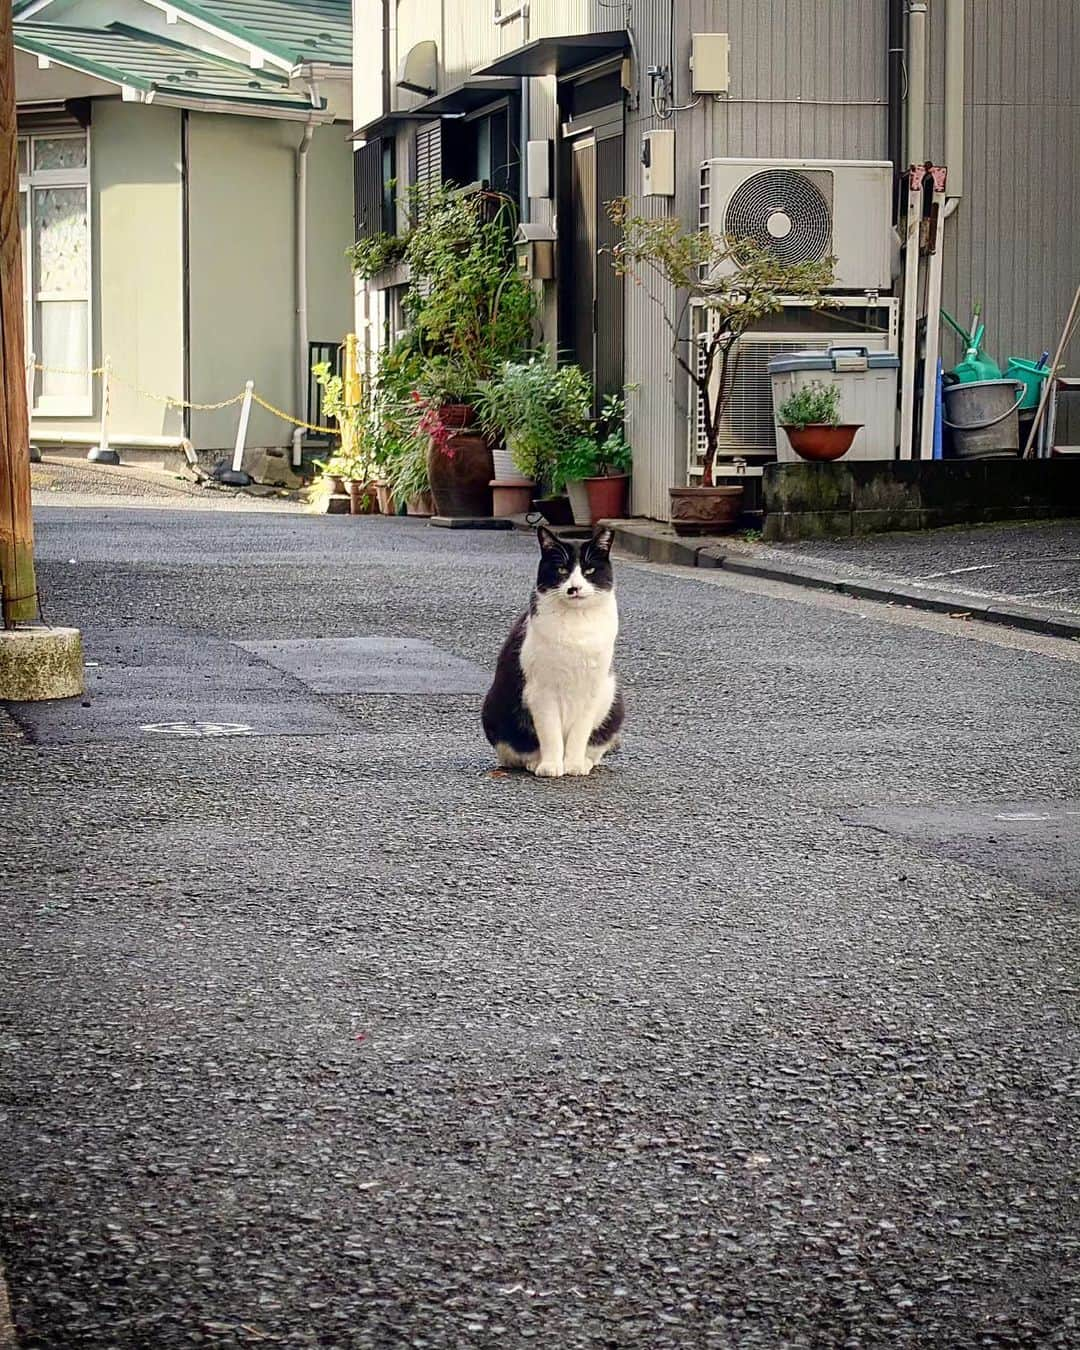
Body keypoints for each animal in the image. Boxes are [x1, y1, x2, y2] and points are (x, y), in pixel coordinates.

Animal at [483, 526, 623, 783]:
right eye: (561, 570)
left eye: (589, 570)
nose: (574, 588)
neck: (576, 623)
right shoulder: (542, 690)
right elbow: (550, 733)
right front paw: (550, 766)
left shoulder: (592, 689)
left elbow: (580, 733)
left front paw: (574, 765)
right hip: (494, 707)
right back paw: (535, 762)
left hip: (612, 698)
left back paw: (585, 761)